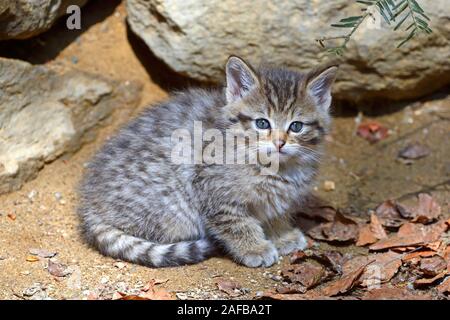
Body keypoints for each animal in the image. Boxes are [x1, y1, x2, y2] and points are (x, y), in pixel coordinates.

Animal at [78, 57, 338, 268]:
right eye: (262, 123)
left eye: (296, 126)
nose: (279, 143)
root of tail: (89, 208)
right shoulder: (213, 189)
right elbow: (237, 223)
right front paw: (254, 248)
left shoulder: (278, 198)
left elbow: (275, 213)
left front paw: (282, 235)